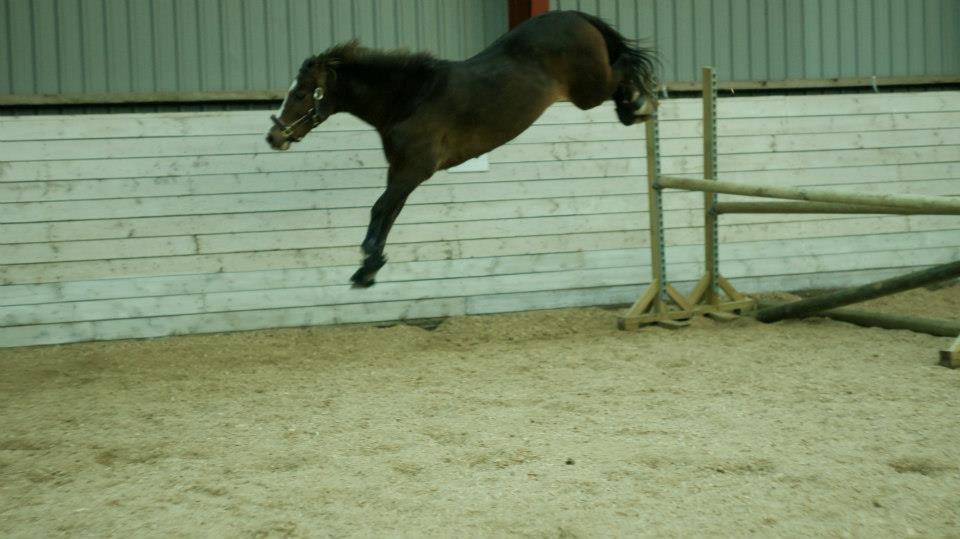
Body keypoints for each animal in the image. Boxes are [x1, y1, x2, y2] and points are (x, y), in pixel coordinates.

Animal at [266, 10, 658, 288]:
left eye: (301, 93)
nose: (274, 137)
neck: (410, 100)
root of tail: (576, 16)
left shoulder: (413, 170)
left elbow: (380, 209)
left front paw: (368, 263)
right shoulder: (401, 171)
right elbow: (387, 213)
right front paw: (368, 269)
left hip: (589, 91)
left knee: (625, 67)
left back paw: (642, 103)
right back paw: (632, 109)